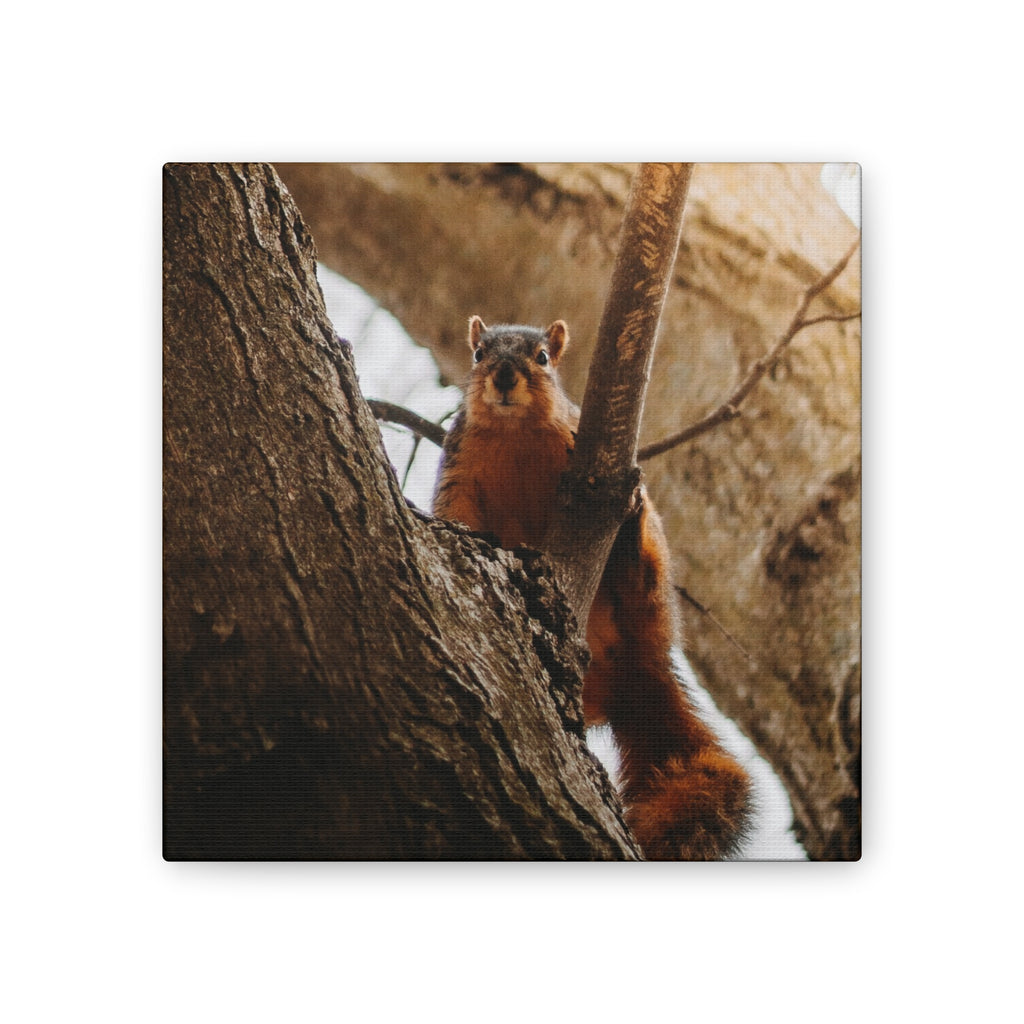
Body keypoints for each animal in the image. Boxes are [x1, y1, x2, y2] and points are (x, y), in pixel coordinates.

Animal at [433, 316, 752, 860]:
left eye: (542, 358)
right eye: (478, 354)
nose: (503, 375)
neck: (516, 436)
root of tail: (638, 669)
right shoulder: (458, 473)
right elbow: (457, 517)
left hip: (651, 601)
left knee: (642, 585)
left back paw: (633, 542)